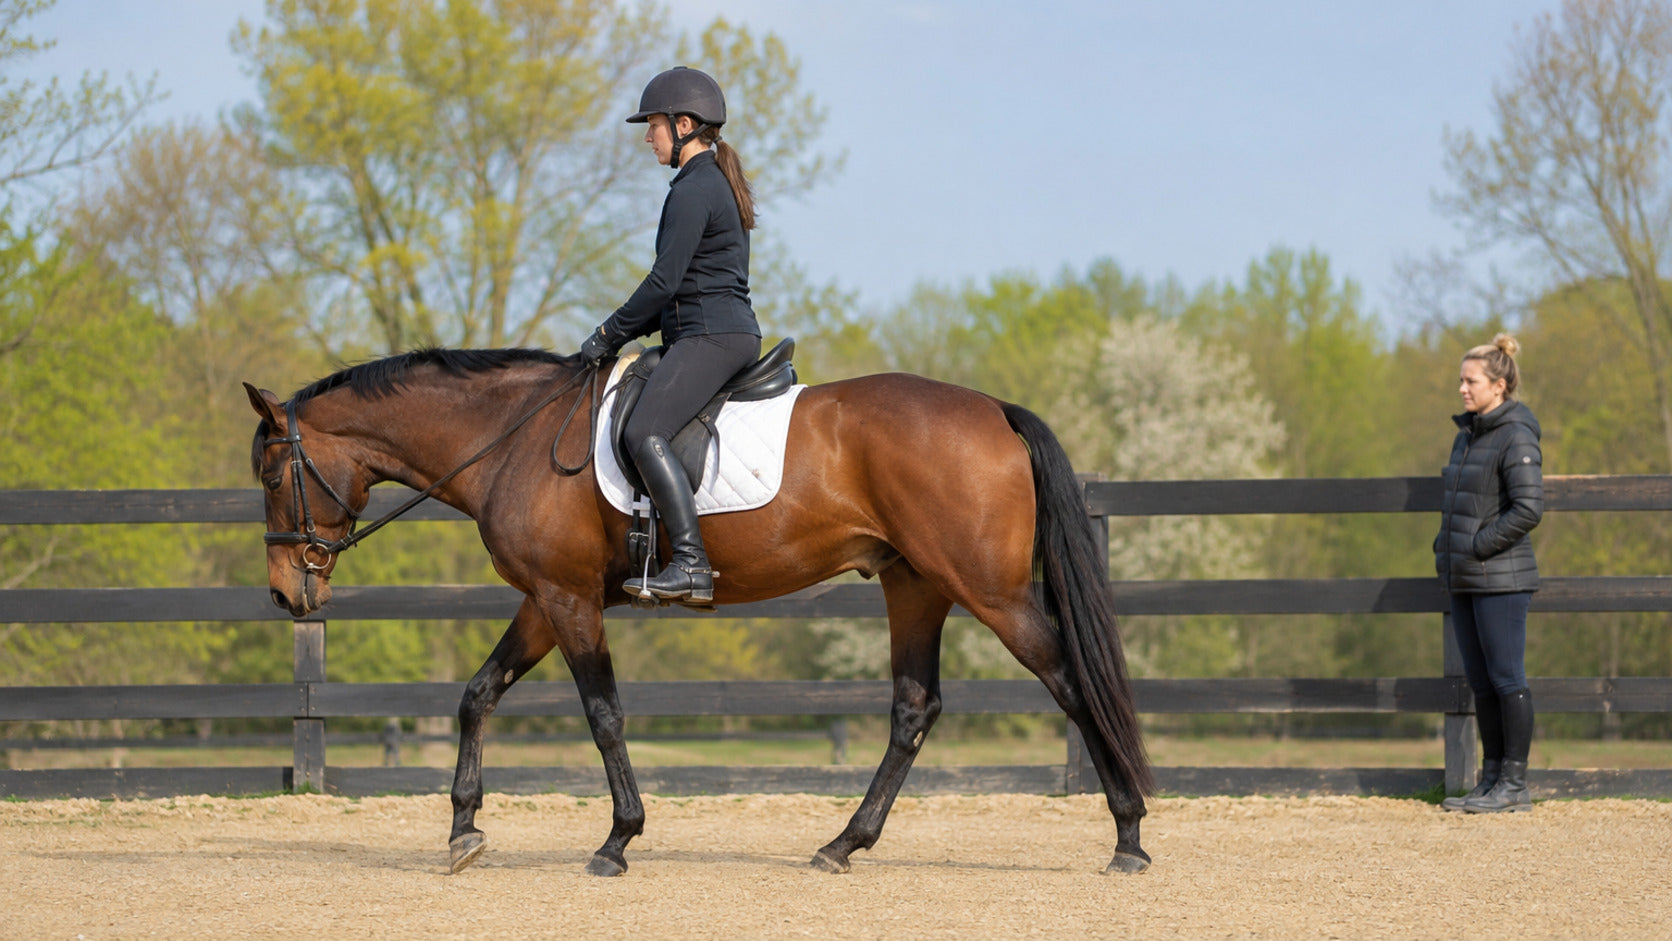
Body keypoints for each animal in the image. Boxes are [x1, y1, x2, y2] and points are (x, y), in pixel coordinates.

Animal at [243, 347, 1153, 877]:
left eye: (272, 473)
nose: (288, 593)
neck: (511, 436)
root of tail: (993, 408)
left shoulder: (569, 599)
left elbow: (603, 713)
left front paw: (618, 838)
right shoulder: (547, 597)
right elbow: (477, 694)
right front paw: (464, 828)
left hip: (988, 592)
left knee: (1072, 682)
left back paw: (1129, 835)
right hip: (915, 586)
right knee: (914, 709)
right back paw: (843, 843)